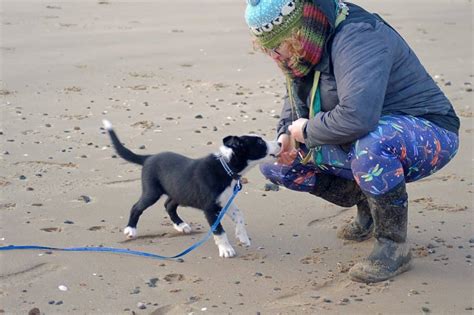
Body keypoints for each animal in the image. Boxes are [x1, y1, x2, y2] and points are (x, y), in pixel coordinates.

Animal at [102, 119, 280, 258]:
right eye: (260, 142)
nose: (279, 142)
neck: (226, 167)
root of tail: (148, 158)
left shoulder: (224, 200)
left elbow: (239, 215)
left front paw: (243, 238)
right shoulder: (210, 208)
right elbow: (219, 230)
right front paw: (226, 250)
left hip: (178, 191)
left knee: (169, 205)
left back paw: (181, 225)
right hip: (152, 191)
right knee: (137, 207)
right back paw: (130, 229)